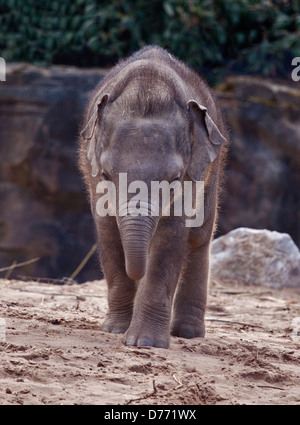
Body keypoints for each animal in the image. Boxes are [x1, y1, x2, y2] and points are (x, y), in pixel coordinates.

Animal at [78, 45, 226, 348]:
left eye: (175, 178)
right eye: (107, 175)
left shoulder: (191, 181)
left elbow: (170, 239)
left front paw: (145, 343)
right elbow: (108, 232)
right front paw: (115, 330)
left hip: (214, 167)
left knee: (199, 238)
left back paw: (187, 333)